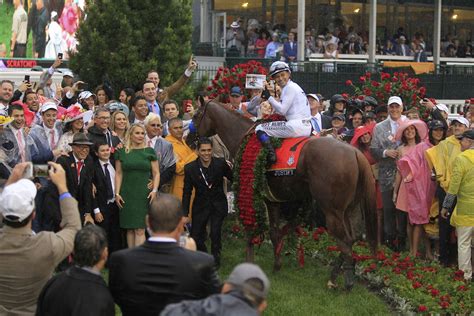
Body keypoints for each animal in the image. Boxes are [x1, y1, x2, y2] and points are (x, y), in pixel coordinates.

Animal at [191, 101, 376, 288]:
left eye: (196, 115)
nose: (188, 138)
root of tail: (355, 152)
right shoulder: (275, 199)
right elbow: (276, 231)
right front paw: (277, 264)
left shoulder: (252, 192)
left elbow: (254, 230)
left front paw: (250, 263)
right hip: (350, 209)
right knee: (353, 238)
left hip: (332, 210)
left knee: (345, 240)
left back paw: (344, 280)